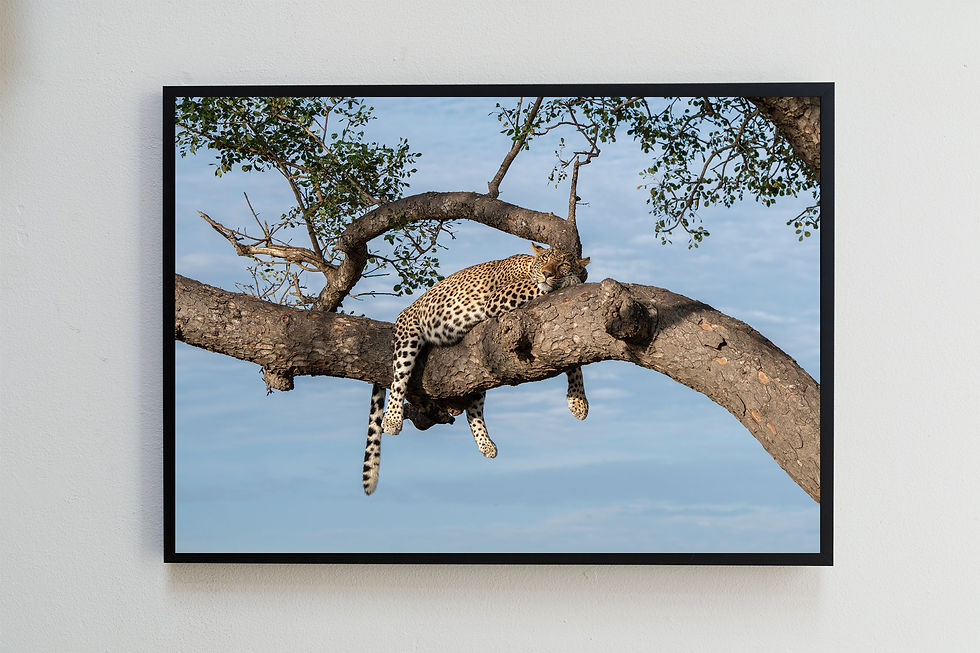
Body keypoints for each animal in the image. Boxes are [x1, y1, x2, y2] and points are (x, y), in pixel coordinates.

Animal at [362, 243, 591, 495]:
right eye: (545, 260)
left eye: (563, 263)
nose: (548, 274)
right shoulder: (499, 297)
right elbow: (537, 286)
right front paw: (570, 280)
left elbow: (573, 361)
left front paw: (578, 401)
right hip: (408, 334)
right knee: (399, 378)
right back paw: (392, 420)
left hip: (480, 370)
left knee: (474, 410)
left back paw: (486, 445)